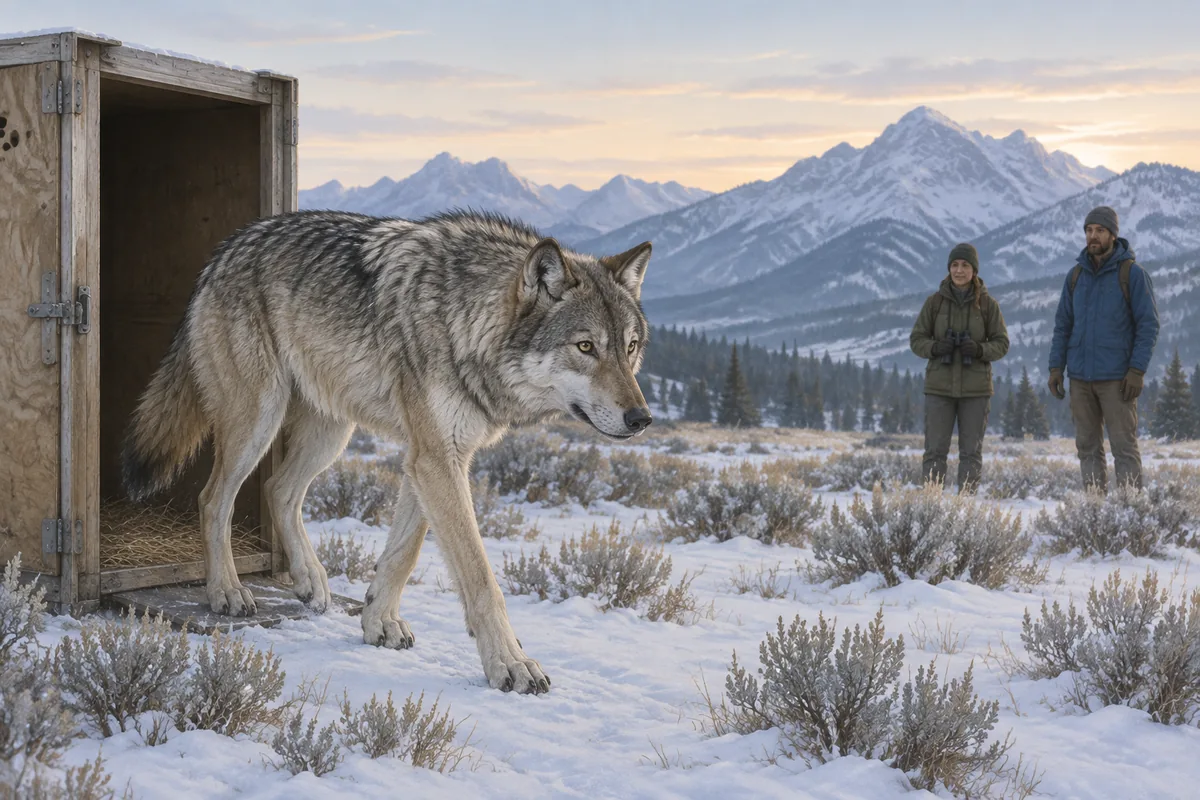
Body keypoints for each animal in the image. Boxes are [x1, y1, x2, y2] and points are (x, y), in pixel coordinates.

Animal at [120, 209, 654, 694]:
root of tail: (225, 249)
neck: (464, 321)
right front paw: (512, 664)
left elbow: (405, 551)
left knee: (278, 489)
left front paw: (379, 621)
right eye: (585, 347)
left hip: (331, 431)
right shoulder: (435, 458)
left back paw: (311, 580)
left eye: (629, 348)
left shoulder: (433, 456)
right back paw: (228, 591)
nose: (641, 419)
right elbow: (481, 579)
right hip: (258, 418)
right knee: (214, 499)